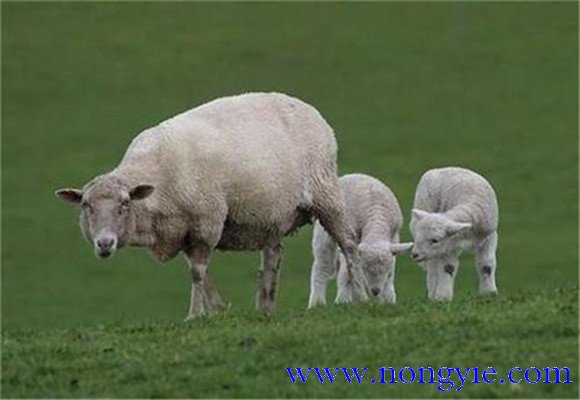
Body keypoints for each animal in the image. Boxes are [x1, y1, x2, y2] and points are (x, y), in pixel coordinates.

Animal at [55, 92, 368, 320]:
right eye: (86, 205)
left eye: (124, 204)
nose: (104, 243)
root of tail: (310, 110)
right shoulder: (183, 231)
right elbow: (201, 274)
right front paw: (217, 310)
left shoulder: (207, 221)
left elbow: (197, 272)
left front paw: (195, 315)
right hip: (272, 216)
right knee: (273, 257)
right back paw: (265, 309)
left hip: (326, 193)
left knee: (348, 243)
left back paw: (363, 297)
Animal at [308, 173, 412, 308]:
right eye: (365, 268)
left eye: (386, 269)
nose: (375, 291)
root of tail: (349, 175)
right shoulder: (350, 240)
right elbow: (347, 273)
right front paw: (343, 300)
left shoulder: (393, 237)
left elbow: (390, 273)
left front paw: (388, 299)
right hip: (325, 233)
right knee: (322, 266)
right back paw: (317, 303)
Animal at [408, 166, 498, 300]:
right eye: (418, 237)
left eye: (435, 240)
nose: (415, 254)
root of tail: (443, 168)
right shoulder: (449, 244)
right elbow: (448, 267)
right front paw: (442, 297)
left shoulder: (490, 236)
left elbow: (486, 265)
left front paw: (489, 293)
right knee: (432, 266)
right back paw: (432, 292)